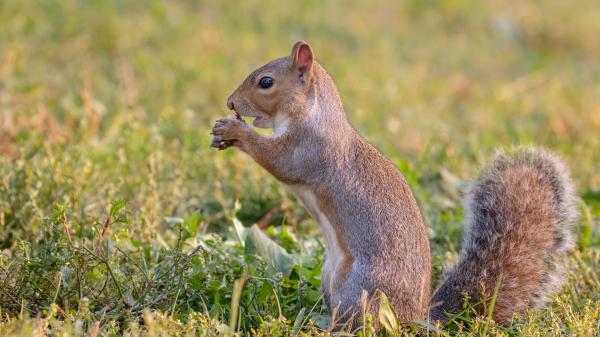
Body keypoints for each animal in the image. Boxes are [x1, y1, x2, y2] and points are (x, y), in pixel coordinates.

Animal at [210, 40, 576, 326]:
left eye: (266, 82)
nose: (230, 102)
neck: (313, 112)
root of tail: (415, 318)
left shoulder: (309, 149)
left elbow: (280, 161)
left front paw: (236, 130)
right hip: (332, 279)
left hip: (357, 288)